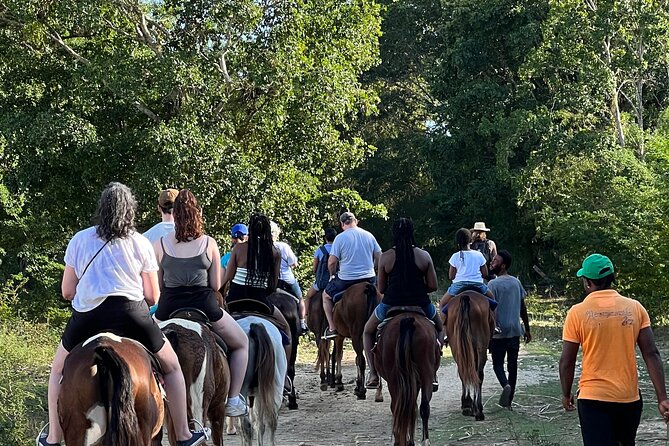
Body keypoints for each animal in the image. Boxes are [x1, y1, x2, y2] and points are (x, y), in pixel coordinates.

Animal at [374, 314, 440, 446]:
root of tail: (408, 320)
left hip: (395, 380)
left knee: (398, 408)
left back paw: (400, 440)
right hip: (425, 374)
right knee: (423, 406)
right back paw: (424, 441)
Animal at [446, 290, 494, 420]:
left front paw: (468, 404)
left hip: (457, 347)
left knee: (465, 372)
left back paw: (469, 406)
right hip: (481, 347)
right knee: (478, 374)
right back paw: (477, 409)